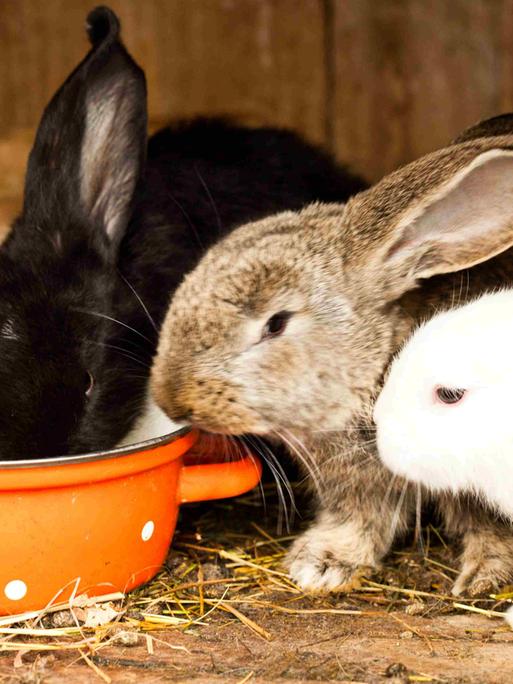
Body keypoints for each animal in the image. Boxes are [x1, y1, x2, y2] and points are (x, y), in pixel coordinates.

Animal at [150, 116, 513, 598]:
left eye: (276, 323)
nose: (172, 398)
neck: (376, 367)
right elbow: (356, 521)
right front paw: (321, 563)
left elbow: (489, 528)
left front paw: (485, 576)